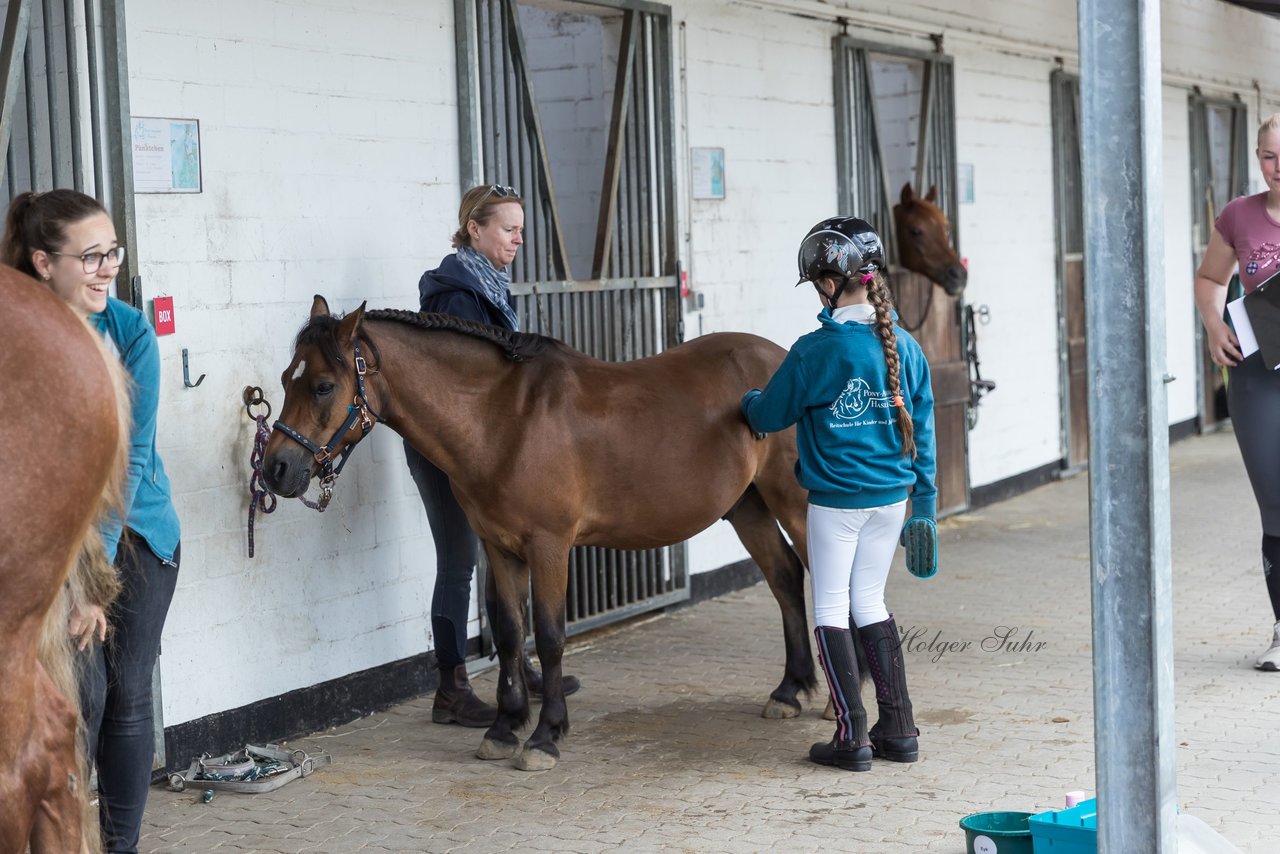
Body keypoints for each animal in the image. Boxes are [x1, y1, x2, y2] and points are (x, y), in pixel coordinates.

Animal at [263, 299, 814, 773]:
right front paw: (504, 729)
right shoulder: (499, 547)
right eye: (288, 380)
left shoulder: (550, 547)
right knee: (786, 579)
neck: (504, 419)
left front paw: (545, 736)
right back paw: (790, 691)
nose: (276, 470)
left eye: (323, 386)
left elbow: (549, 637)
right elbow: (510, 633)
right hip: (749, 509)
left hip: (796, 505)